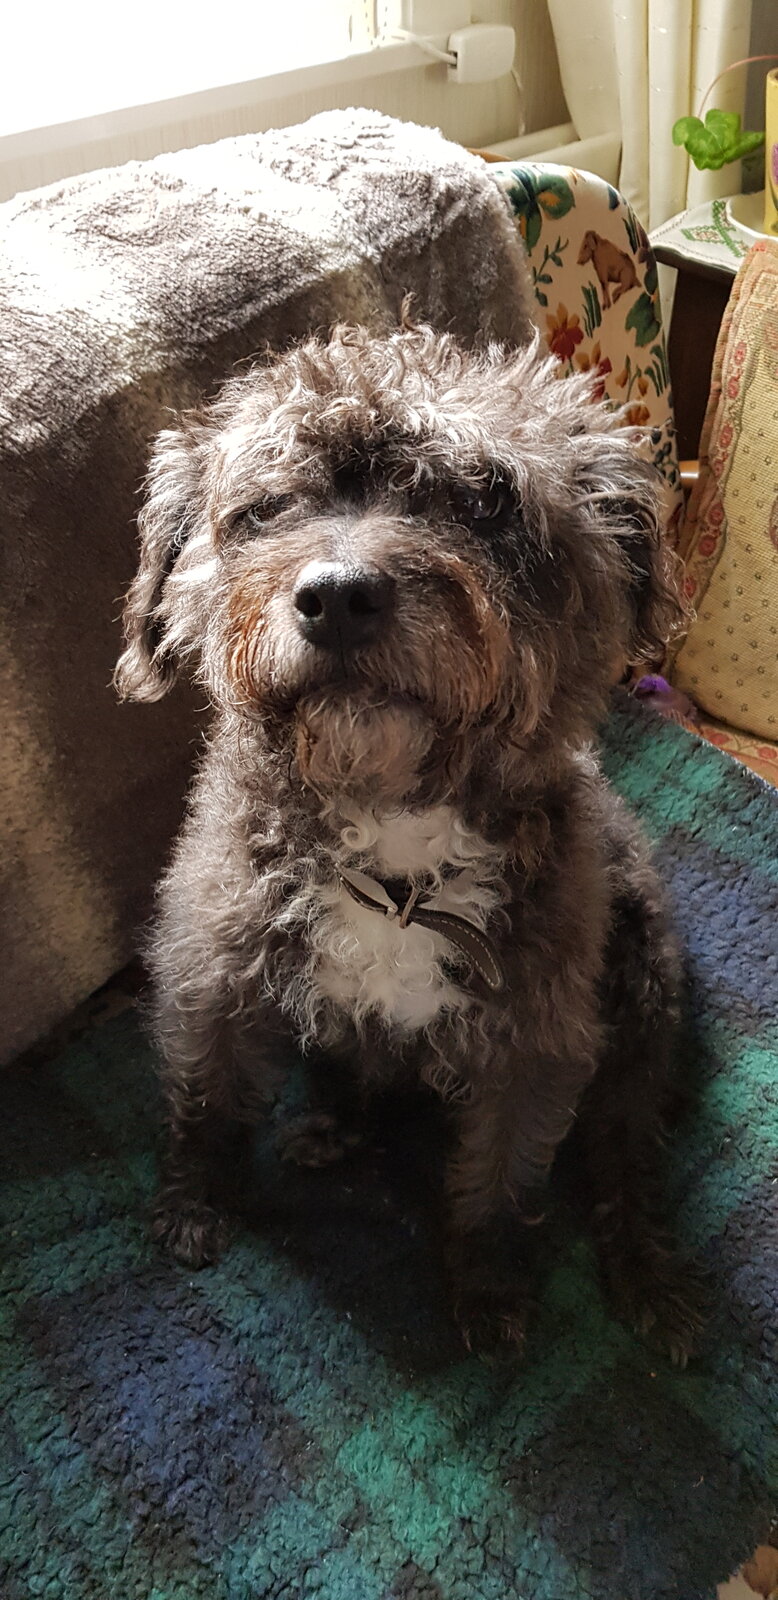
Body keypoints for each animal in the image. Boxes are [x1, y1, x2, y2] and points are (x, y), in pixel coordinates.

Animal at [116, 322, 705, 1362]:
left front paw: (486, 1284)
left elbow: (502, 1182)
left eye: (483, 501)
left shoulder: (535, 1044)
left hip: (641, 1003)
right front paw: (192, 1205)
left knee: (625, 1158)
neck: (391, 843)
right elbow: (205, 1100)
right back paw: (332, 1127)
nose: (339, 598)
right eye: (269, 505)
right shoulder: (211, 972)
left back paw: (649, 1275)